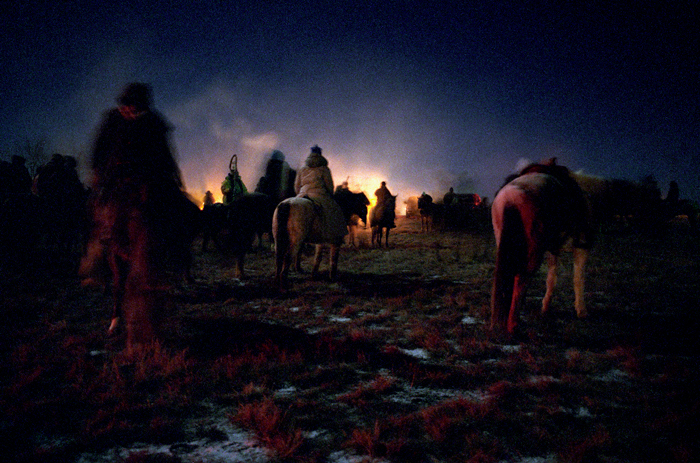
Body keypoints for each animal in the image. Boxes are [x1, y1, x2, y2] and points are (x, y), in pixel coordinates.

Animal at [490, 160, 592, 338]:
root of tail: (511, 198)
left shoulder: (553, 250)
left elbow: (551, 279)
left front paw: (545, 307)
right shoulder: (582, 247)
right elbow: (578, 279)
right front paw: (581, 311)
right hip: (533, 253)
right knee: (521, 278)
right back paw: (513, 326)